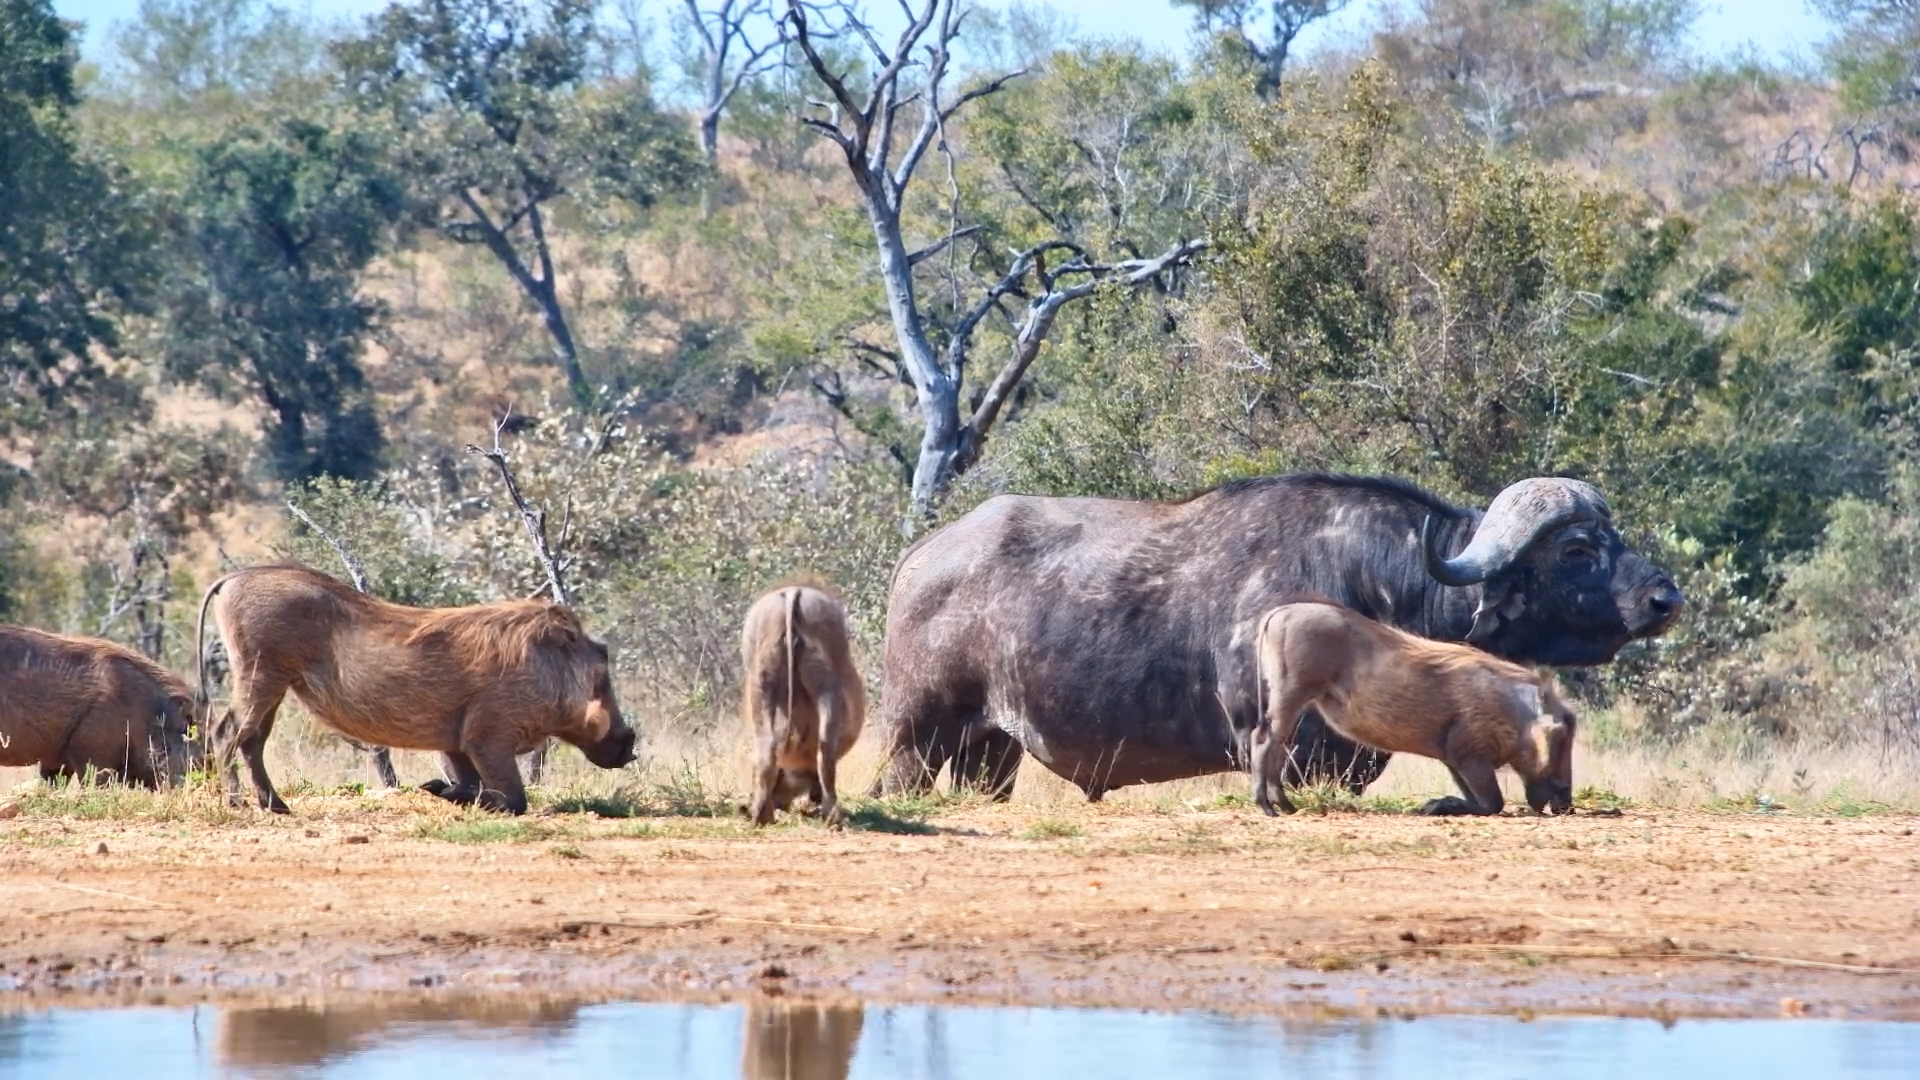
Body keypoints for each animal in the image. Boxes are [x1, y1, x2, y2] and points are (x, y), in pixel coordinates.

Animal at [872, 474, 1681, 800]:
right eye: (1577, 549)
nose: (1664, 597)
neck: (1372, 582)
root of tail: (919, 557)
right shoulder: (1294, 752)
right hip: (917, 739)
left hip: (991, 752)